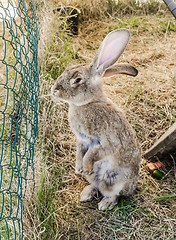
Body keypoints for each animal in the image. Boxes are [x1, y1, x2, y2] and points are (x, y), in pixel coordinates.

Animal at [51, 28, 141, 210]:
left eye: (77, 80)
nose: (54, 90)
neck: (88, 103)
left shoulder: (106, 142)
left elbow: (92, 154)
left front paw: (84, 167)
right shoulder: (81, 140)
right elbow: (80, 153)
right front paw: (79, 169)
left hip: (115, 181)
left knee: (114, 194)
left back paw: (105, 204)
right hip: (96, 178)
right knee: (96, 185)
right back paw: (85, 195)